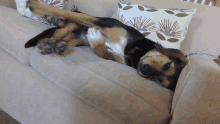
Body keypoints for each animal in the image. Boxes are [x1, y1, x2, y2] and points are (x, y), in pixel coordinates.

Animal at [24, 0, 189, 91]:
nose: (144, 69)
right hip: (72, 25)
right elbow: (66, 12)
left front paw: (96, 40)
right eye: (167, 65)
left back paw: (53, 46)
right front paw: (37, 6)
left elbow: (105, 54)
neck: (135, 52)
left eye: (159, 81)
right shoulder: (101, 21)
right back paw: (47, 42)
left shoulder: (120, 58)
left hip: (76, 39)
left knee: (60, 38)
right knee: (61, 26)